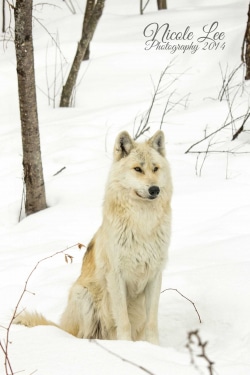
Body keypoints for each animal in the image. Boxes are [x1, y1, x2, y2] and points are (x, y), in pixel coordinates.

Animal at [15, 131, 172, 346]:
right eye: (138, 169)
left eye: (155, 168)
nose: (155, 189)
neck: (143, 224)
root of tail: (64, 327)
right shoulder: (116, 276)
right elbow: (123, 320)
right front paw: (127, 347)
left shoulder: (155, 275)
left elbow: (152, 322)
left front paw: (154, 348)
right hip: (84, 296)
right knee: (82, 335)